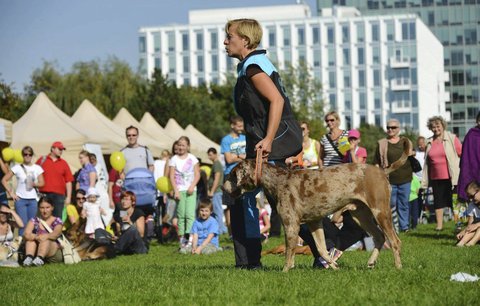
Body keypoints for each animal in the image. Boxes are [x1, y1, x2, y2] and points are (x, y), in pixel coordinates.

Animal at [224, 142, 408, 272]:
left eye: (232, 174)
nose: (222, 187)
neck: (278, 180)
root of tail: (382, 171)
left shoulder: (291, 224)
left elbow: (289, 252)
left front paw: (285, 271)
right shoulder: (314, 222)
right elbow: (322, 249)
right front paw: (333, 265)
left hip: (380, 211)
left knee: (395, 241)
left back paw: (398, 267)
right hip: (361, 215)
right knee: (379, 237)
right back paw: (371, 262)